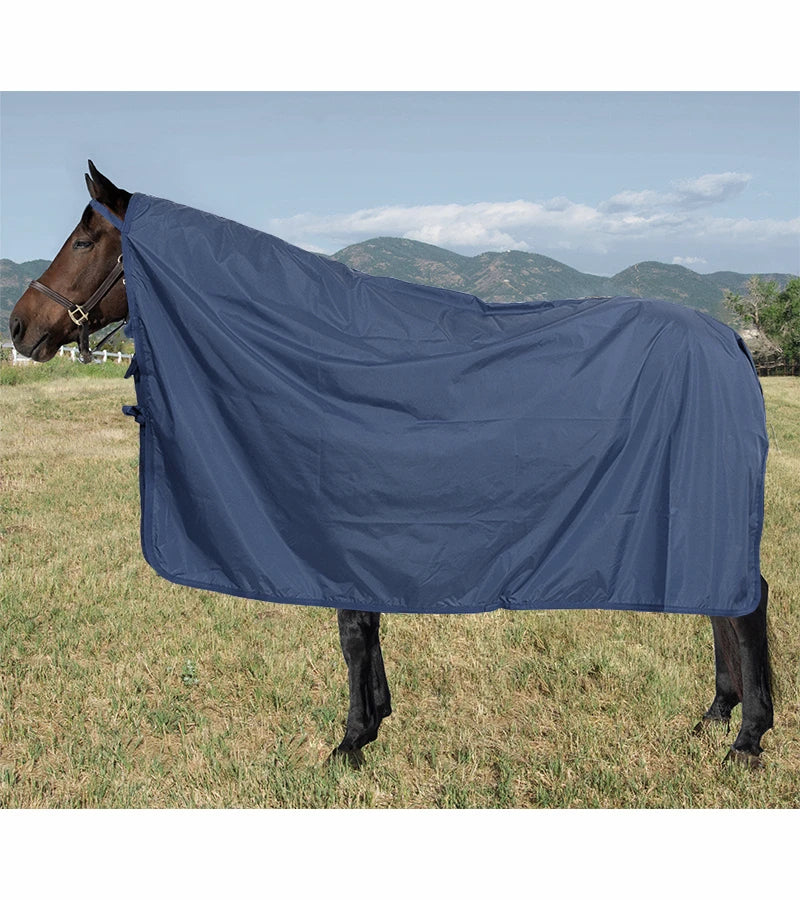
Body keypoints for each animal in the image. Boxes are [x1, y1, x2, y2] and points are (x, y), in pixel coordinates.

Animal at [8, 162, 774, 769]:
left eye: (84, 240)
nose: (19, 326)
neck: (312, 345)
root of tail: (732, 339)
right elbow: (364, 626)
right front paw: (374, 722)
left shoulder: (340, 523)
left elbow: (353, 631)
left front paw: (350, 742)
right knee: (722, 596)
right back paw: (715, 717)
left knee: (746, 601)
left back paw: (747, 740)